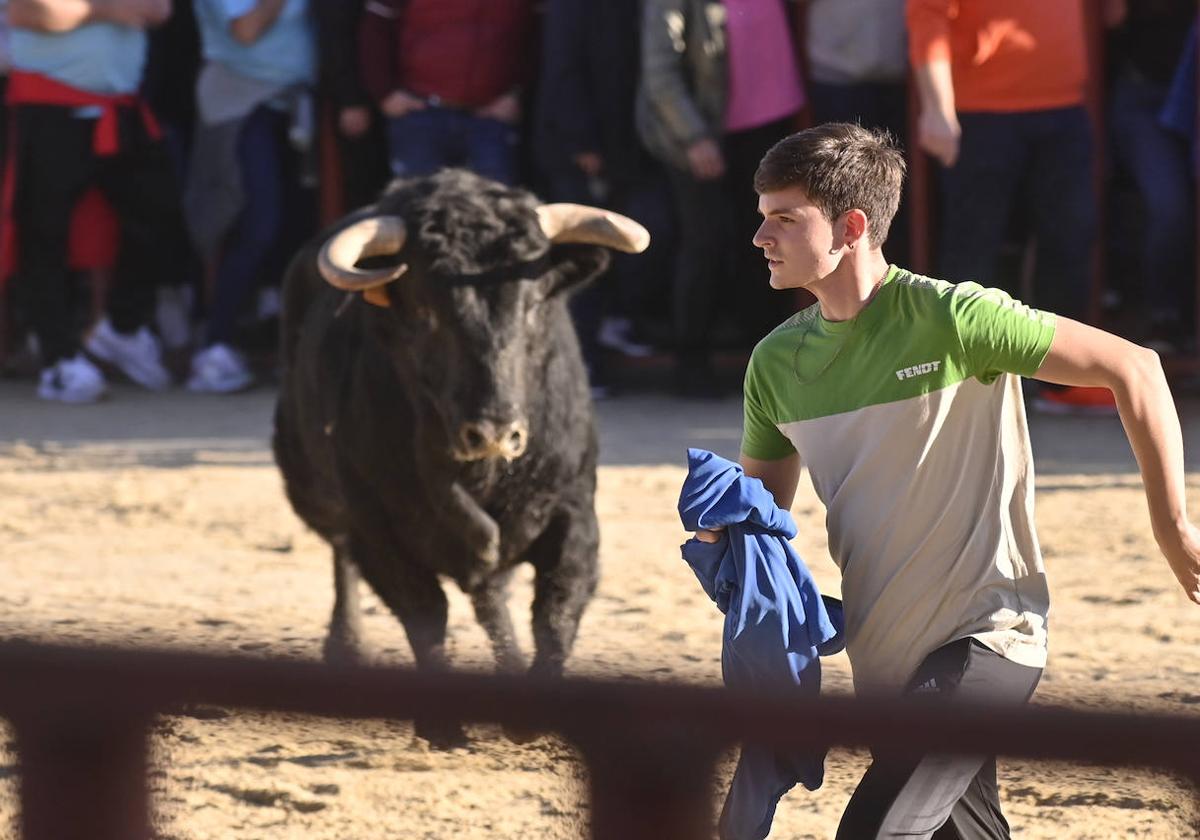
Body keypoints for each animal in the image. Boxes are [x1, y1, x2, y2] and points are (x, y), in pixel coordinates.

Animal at [274, 169, 648, 739]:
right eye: (426, 311)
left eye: (532, 304)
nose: (493, 432)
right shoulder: (377, 526)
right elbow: (424, 610)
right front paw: (442, 725)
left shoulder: (573, 508)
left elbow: (557, 603)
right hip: (310, 483)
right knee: (343, 551)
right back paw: (346, 646)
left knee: (491, 593)